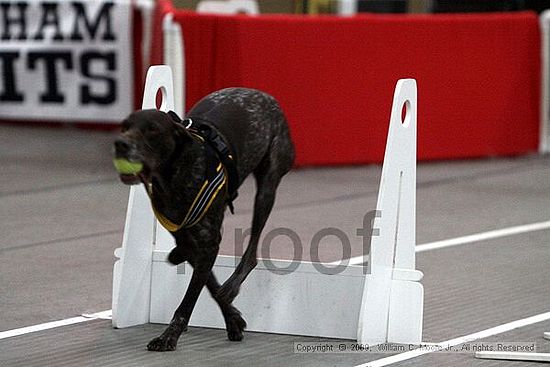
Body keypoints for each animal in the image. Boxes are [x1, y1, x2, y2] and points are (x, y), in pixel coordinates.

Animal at [114, 87, 298, 352]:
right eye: (124, 126)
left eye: (152, 129)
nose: (120, 144)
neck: (172, 178)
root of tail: (261, 94)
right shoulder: (190, 241)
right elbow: (209, 284)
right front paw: (233, 320)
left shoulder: (209, 242)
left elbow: (190, 300)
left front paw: (168, 337)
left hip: (268, 186)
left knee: (251, 253)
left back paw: (232, 285)